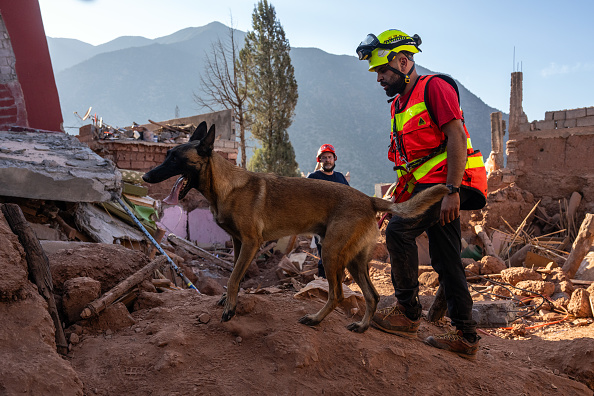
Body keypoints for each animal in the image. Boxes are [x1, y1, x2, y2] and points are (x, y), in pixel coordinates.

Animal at [143, 122, 446, 332]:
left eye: (174, 158)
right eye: (167, 154)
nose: (146, 176)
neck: (226, 185)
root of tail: (370, 199)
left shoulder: (250, 243)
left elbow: (232, 278)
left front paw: (229, 309)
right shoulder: (238, 243)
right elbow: (234, 277)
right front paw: (227, 301)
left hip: (331, 253)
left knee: (337, 295)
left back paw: (315, 319)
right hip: (353, 261)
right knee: (371, 296)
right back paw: (361, 327)